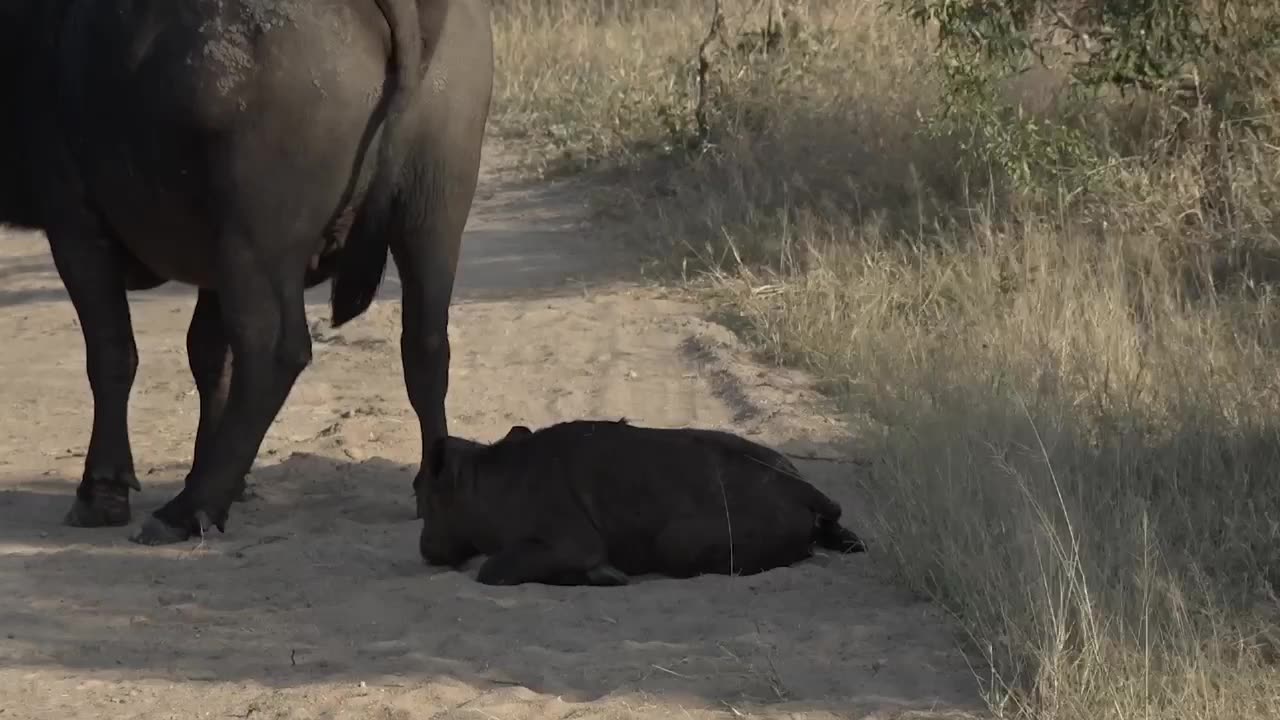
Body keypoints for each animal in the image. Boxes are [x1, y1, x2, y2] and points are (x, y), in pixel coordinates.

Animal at [0, 0, 494, 538]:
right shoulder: (211, 263)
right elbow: (208, 355)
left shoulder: (75, 222)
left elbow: (112, 355)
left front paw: (101, 492)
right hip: (434, 212)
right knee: (425, 343)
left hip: (255, 239)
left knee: (274, 351)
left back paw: (189, 507)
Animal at [419, 420, 870, 584]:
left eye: (420, 494)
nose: (424, 548)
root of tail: (797, 485)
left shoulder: (574, 545)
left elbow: (492, 569)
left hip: (678, 546)